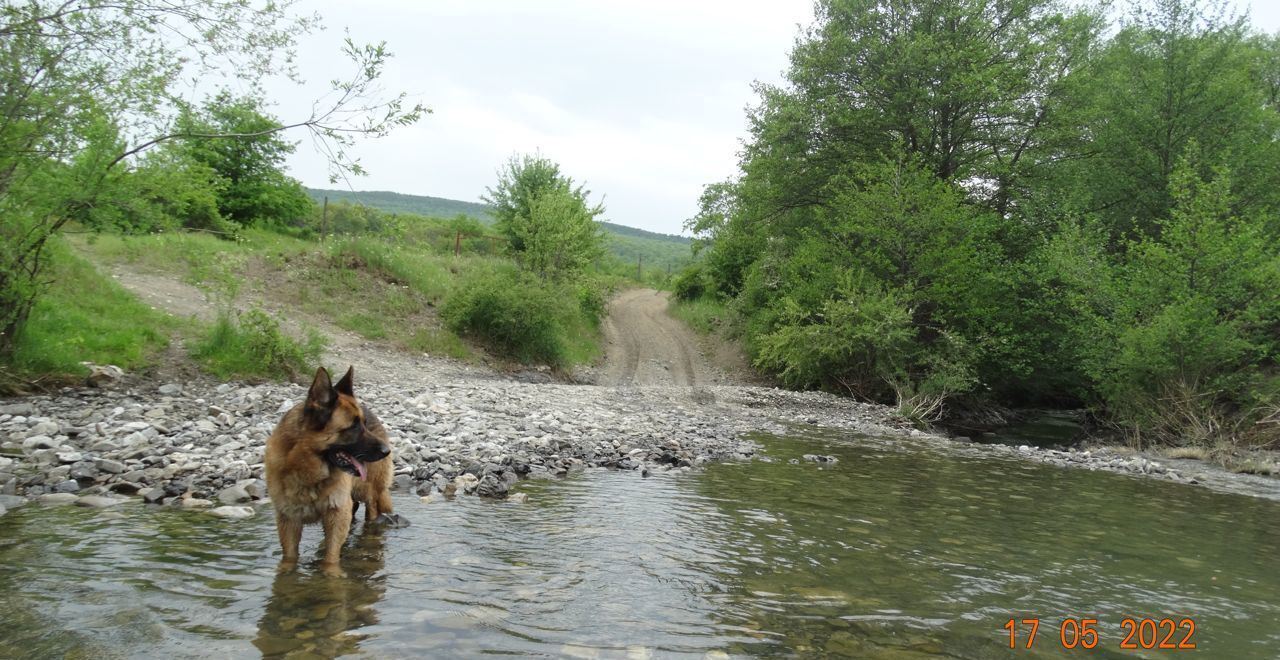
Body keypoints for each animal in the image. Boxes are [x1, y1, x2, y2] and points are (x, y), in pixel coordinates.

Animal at [263, 365, 394, 578]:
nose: (386, 451)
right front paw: (287, 573)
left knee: (372, 508)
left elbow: (331, 556)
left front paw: (331, 575)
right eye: (353, 426)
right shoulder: (289, 520)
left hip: (365, 490)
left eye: (364, 424)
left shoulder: (336, 514)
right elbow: (290, 556)